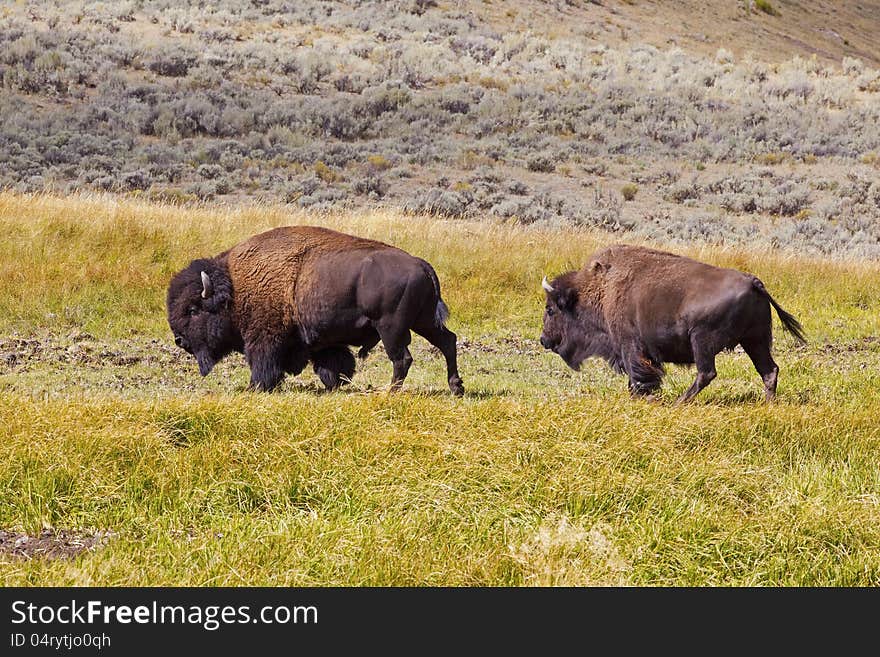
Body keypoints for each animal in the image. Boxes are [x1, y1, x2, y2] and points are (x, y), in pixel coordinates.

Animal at [167, 226, 468, 394]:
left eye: (193, 310)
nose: (179, 340)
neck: (234, 286)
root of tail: (421, 264)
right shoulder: (323, 341)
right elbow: (332, 363)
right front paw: (337, 384)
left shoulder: (264, 338)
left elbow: (262, 364)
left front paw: (255, 388)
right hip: (424, 321)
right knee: (447, 342)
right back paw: (456, 388)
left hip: (391, 327)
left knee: (402, 358)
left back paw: (390, 393)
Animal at [536, 243, 804, 402]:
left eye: (550, 309)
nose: (544, 340)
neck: (600, 289)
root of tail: (754, 282)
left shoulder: (629, 346)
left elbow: (639, 376)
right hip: (755, 340)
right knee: (768, 370)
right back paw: (767, 404)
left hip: (703, 341)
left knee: (707, 373)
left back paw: (680, 402)